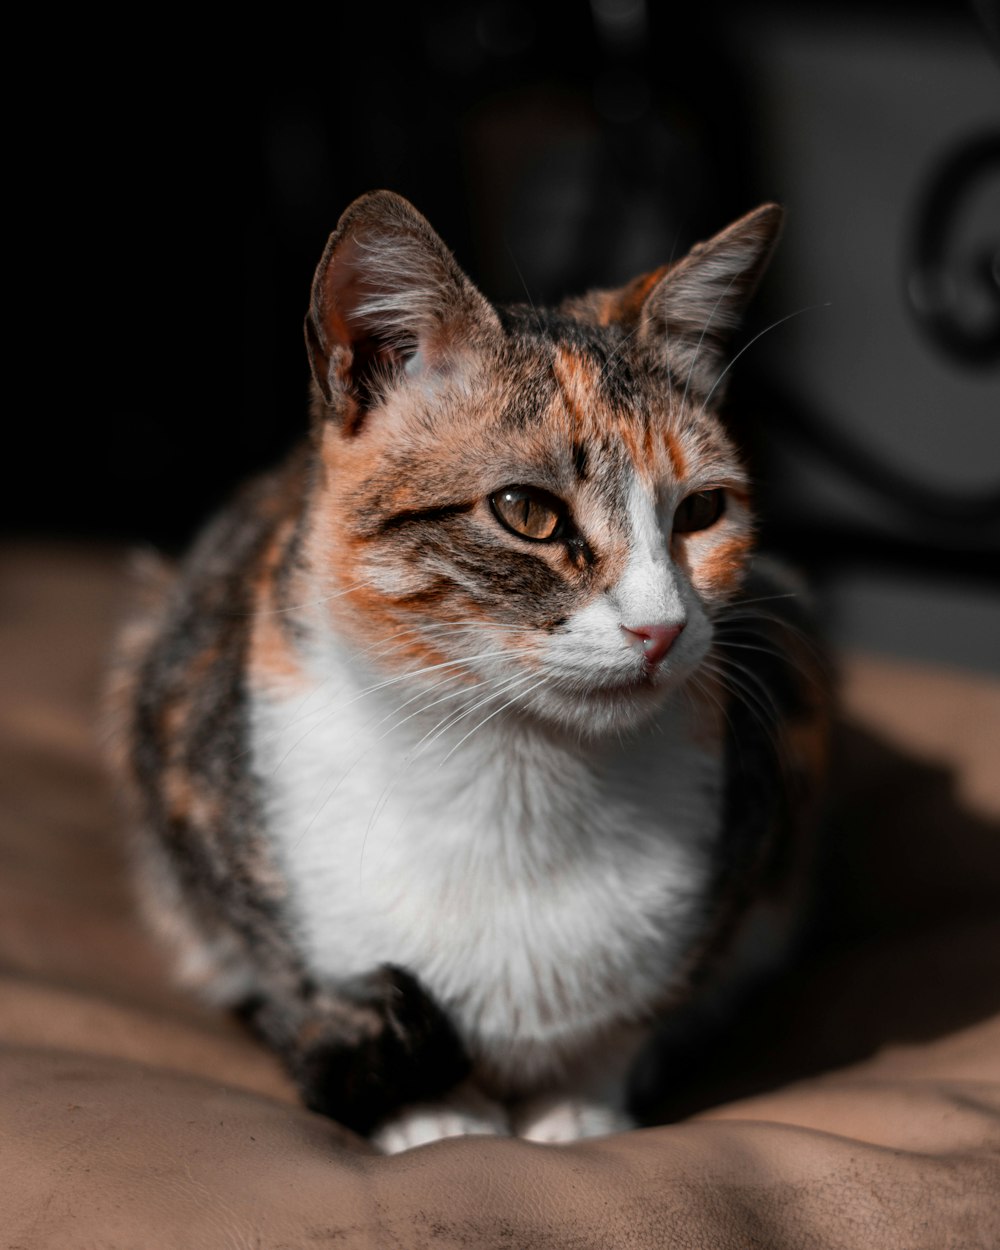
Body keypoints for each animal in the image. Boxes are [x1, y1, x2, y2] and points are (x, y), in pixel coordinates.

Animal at [107, 187, 830, 1150]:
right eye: (526, 511)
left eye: (702, 511)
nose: (663, 628)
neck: (516, 772)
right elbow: (300, 979)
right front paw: (438, 1118)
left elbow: (643, 1011)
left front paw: (580, 1108)